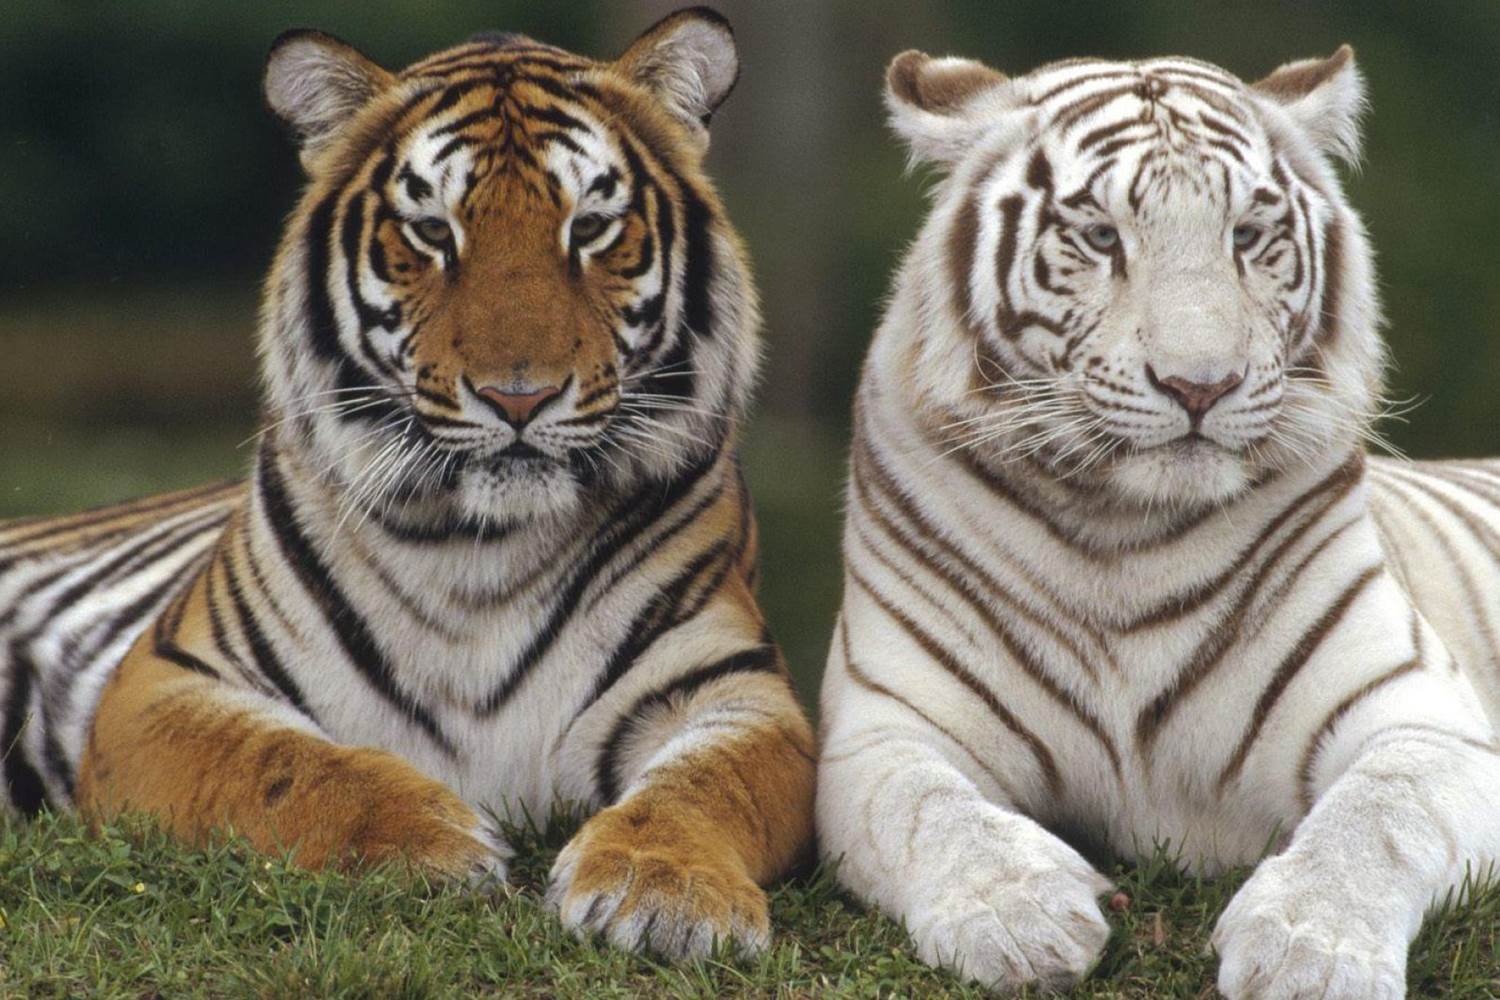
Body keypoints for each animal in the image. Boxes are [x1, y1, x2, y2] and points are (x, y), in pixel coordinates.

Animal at [0, 7, 815, 960]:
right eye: (432, 231)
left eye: (589, 228)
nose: (518, 396)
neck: (483, 550)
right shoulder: (166, 684)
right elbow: (284, 765)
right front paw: (430, 840)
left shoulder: (737, 690)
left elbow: (707, 786)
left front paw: (667, 891)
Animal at [817, 44, 1500, 998]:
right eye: (1101, 237)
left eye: (1247, 235)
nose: (1199, 385)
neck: (1123, 535)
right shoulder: (883, 729)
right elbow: (927, 810)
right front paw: (1020, 917)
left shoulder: (1422, 717)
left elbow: (1377, 818)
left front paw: (1310, 951)